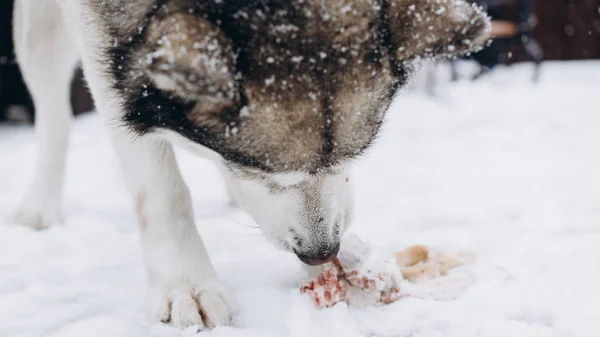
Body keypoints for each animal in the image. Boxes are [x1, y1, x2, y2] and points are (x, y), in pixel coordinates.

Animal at [11, 0, 490, 330]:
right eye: (264, 172)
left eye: (354, 156)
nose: (321, 252)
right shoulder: (105, 43)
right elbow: (162, 189)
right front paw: (186, 283)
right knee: (52, 110)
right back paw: (39, 208)